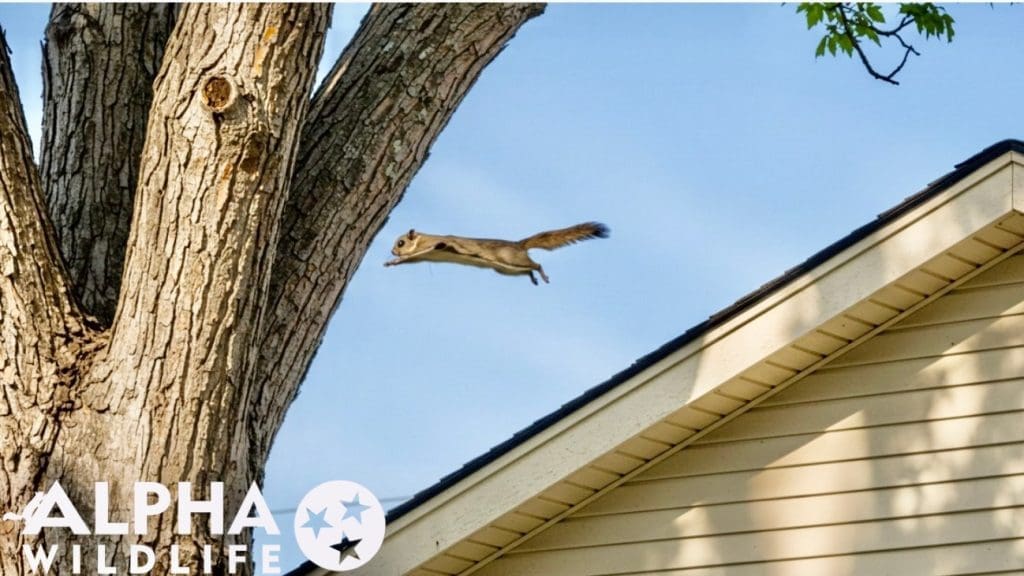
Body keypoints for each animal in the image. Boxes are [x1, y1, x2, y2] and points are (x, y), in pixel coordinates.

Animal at [384, 222, 609, 285]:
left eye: (401, 242)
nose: (392, 250)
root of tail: (519, 245)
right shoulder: (424, 256)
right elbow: (410, 260)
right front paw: (392, 262)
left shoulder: (437, 246)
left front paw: (396, 258)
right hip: (507, 270)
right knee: (528, 269)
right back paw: (533, 279)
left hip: (511, 259)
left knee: (536, 264)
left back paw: (542, 275)